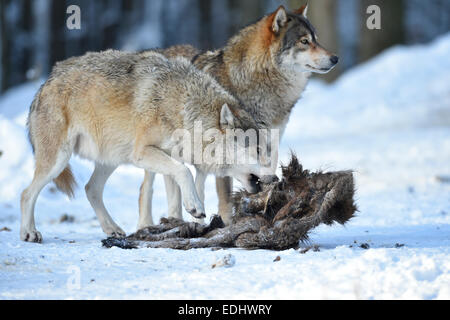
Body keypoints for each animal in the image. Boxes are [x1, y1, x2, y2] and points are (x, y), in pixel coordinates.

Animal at [20, 50, 270, 241]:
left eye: (266, 150)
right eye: (257, 150)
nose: (275, 178)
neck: (183, 107)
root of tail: (44, 84)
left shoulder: (169, 159)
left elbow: (176, 196)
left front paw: (179, 223)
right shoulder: (143, 153)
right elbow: (185, 172)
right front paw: (195, 208)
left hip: (111, 159)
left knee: (91, 189)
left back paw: (112, 229)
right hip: (58, 161)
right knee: (26, 193)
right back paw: (29, 233)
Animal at [140, 3, 338, 226]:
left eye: (316, 39)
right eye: (304, 41)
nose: (335, 58)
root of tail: (157, 50)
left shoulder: (268, 146)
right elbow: (226, 197)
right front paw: (227, 225)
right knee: (146, 189)